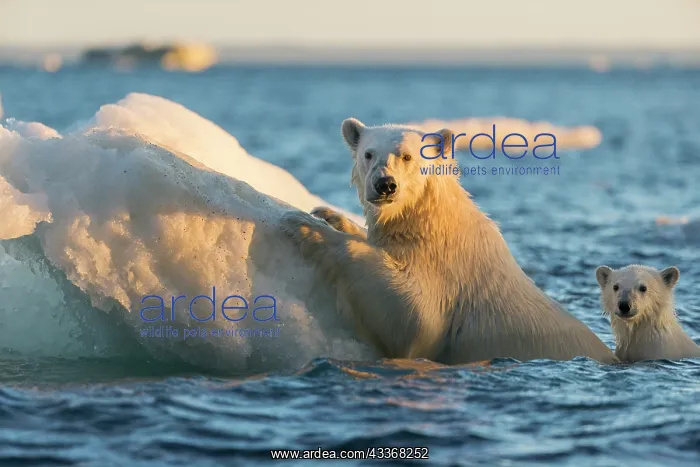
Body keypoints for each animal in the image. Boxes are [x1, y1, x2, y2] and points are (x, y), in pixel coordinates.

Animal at [280, 118, 617, 365]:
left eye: (407, 155)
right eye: (368, 153)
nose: (385, 184)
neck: (432, 222)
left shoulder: (445, 275)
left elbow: (413, 316)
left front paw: (303, 224)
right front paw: (328, 214)